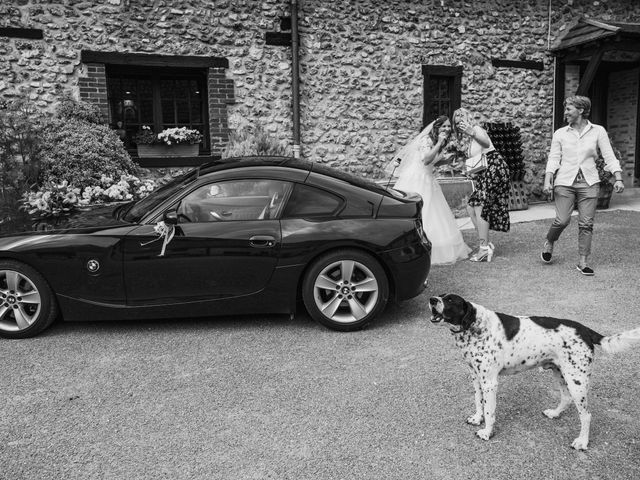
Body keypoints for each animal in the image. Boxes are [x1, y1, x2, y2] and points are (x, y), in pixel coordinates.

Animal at [428, 292, 640, 450]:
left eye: (450, 300)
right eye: (441, 295)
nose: (431, 300)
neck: (474, 325)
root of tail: (585, 330)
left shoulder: (490, 382)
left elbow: (489, 411)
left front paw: (487, 432)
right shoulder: (476, 377)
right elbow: (478, 402)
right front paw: (477, 419)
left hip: (576, 380)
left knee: (586, 415)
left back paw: (582, 442)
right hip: (561, 373)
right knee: (566, 398)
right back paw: (555, 413)